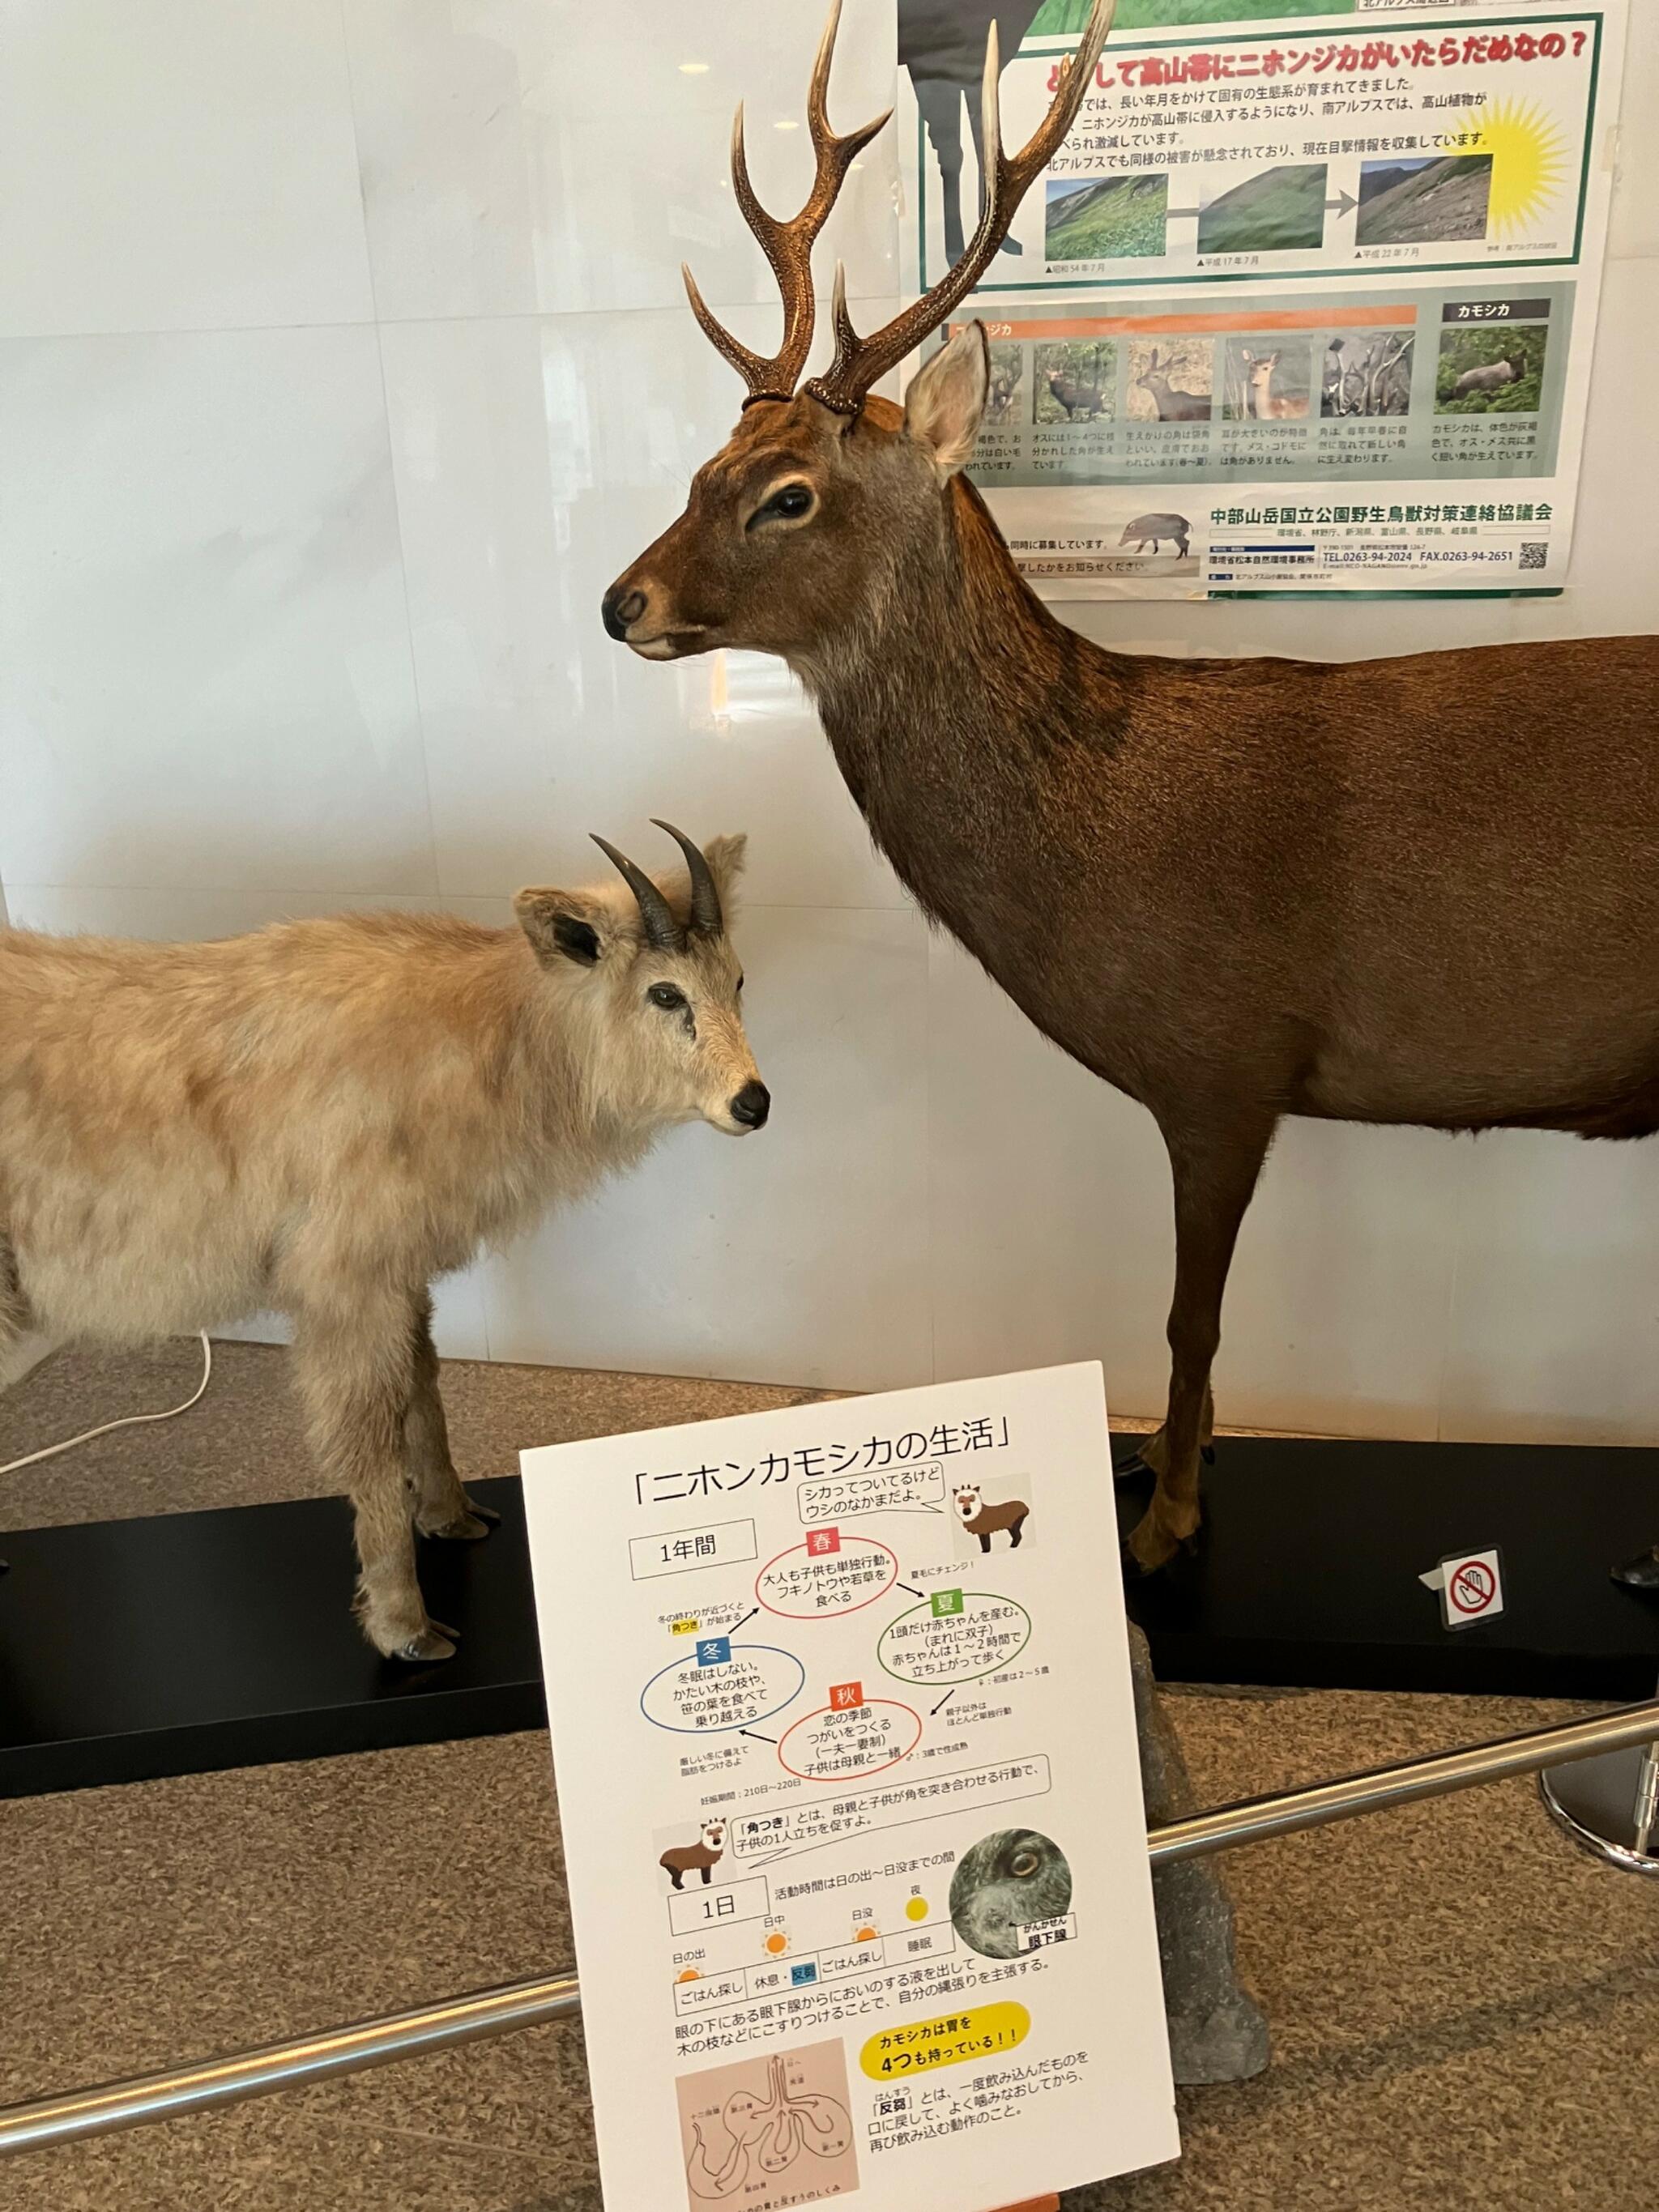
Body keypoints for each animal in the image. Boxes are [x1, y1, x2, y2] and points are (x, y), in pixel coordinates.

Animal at [0, 831, 765, 1663]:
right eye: (665, 994)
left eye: (737, 978)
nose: (753, 1102)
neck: (480, 1039)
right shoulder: (346, 1284)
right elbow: (369, 1436)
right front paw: (406, 1627)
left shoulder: (400, 1271)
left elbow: (423, 1384)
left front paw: (453, 1515)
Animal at [606, 8, 1659, 1583]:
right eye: (700, 464)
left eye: (786, 493)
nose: (621, 601)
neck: (1099, 840)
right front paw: (1173, 1474)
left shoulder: (1224, 1060)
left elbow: (1189, 1311)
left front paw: (1166, 1515)